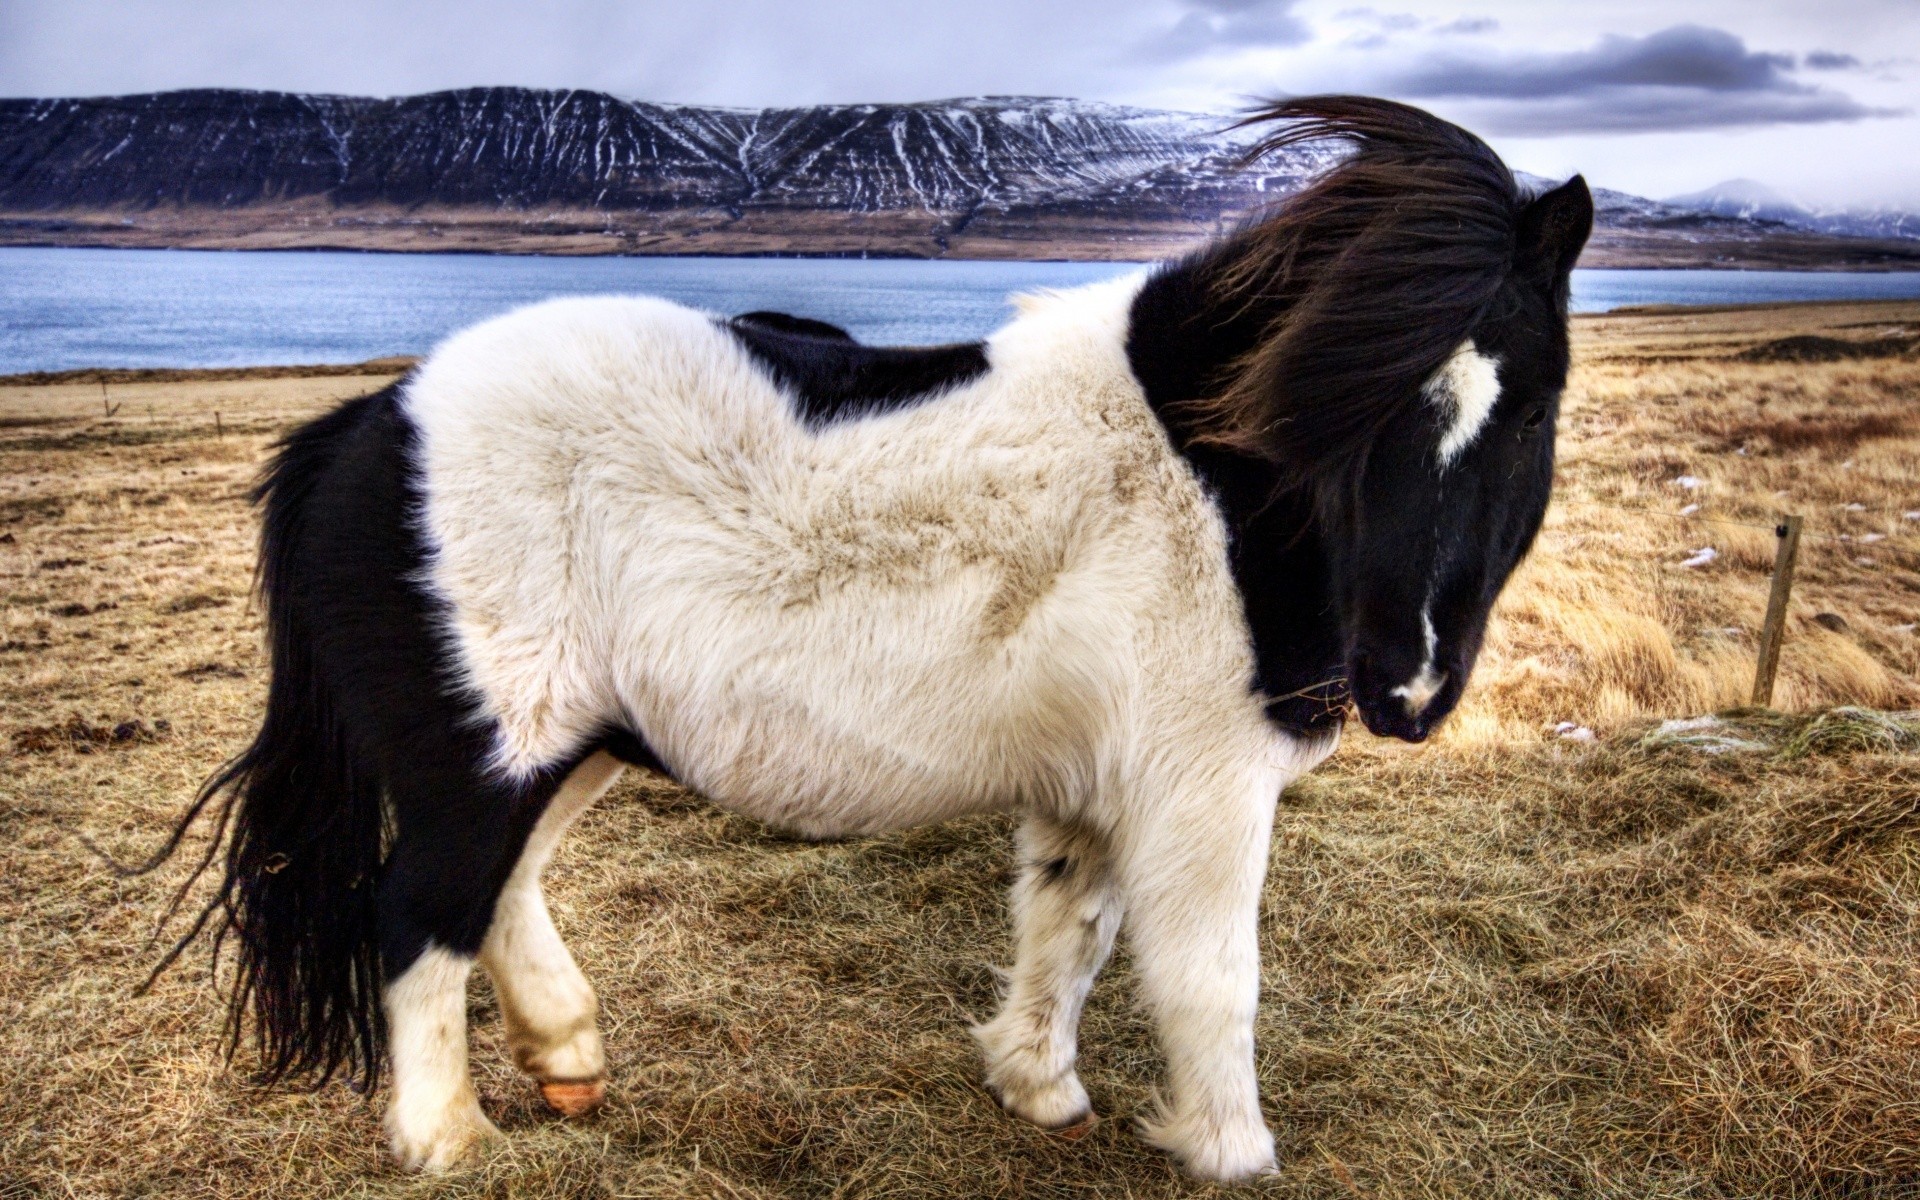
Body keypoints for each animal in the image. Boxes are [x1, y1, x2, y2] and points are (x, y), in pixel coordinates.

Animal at [145, 96, 1589, 1182]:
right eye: (1348, 401)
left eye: (1530, 409)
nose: (1406, 685)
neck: (1215, 490)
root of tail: (372, 425)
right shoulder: (1203, 790)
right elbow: (1209, 979)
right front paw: (1228, 1151)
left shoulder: (1097, 788)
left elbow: (1070, 931)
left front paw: (1037, 1088)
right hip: (483, 760)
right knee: (418, 917)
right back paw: (447, 1139)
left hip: (561, 747)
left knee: (499, 891)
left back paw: (566, 1055)